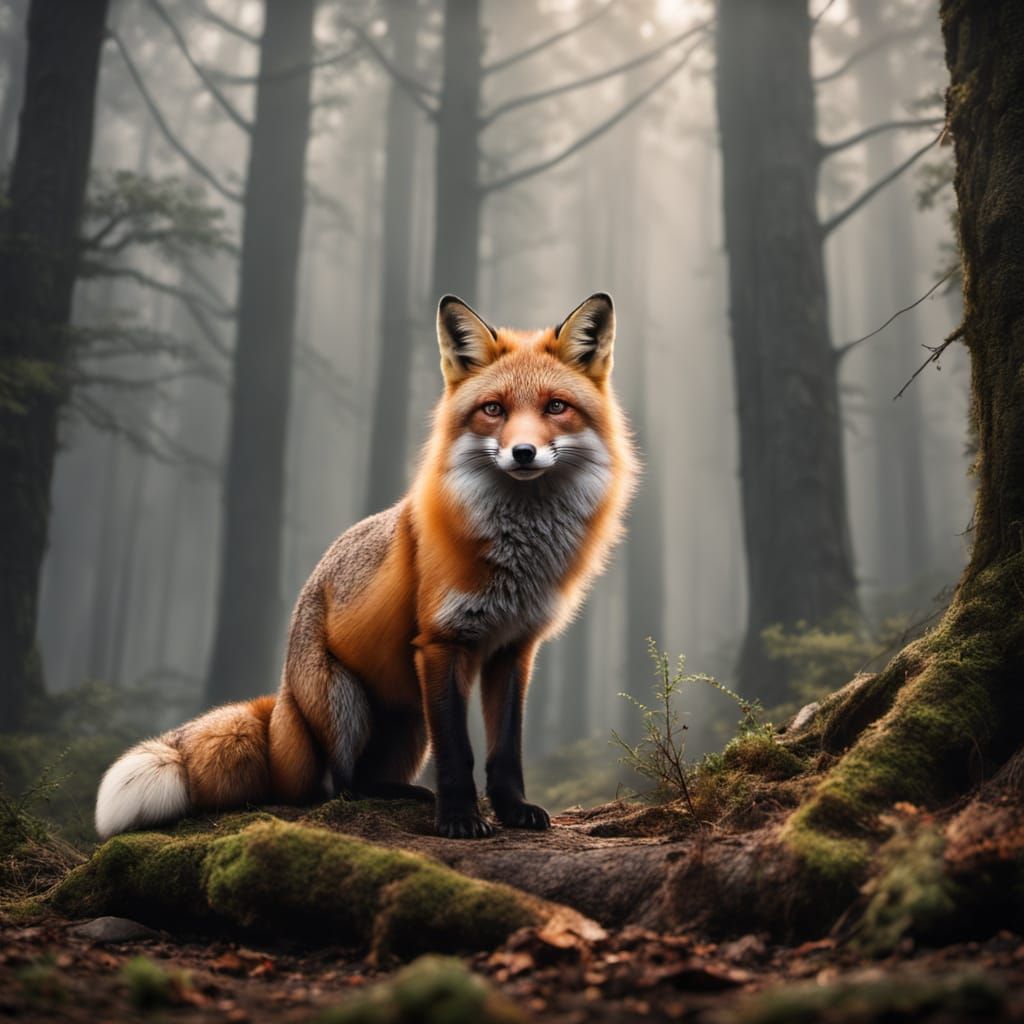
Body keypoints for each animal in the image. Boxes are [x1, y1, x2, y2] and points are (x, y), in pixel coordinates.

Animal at [95, 292, 637, 840]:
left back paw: (405, 792)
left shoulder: (513, 650)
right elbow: (458, 754)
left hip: (411, 722)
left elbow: (505, 750)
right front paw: (460, 818)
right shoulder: (440, 643)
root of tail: (281, 704)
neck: (519, 553)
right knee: (335, 786)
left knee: (368, 776)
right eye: (493, 410)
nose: (523, 452)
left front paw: (512, 809)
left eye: (555, 407)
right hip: (346, 705)